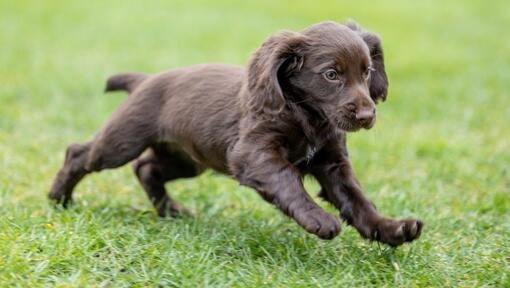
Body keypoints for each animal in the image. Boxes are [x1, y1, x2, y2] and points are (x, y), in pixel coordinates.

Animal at [49, 21, 422, 246]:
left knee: (146, 168)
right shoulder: (254, 154)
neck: (307, 117)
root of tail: (146, 79)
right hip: (122, 141)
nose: (367, 115)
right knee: (80, 152)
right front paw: (318, 219)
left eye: (367, 72)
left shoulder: (332, 163)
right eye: (331, 74)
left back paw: (171, 213)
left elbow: (357, 199)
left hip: (188, 159)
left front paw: (391, 229)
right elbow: (289, 180)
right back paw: (59, 199)